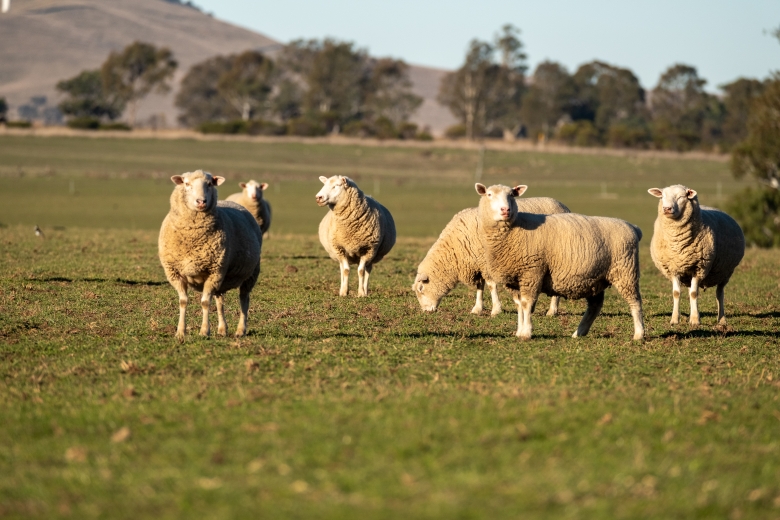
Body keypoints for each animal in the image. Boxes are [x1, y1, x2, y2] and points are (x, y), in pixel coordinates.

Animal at [159, 170, 262, 341]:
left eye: (209, 184)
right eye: (186, 184)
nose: (201, 201)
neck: (192, 236)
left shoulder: (213, 272)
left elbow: (205, 303)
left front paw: (204, 331)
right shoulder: (175, 273)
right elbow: (183, 301)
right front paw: (180, 332)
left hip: (250, 272)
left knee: (244, 300)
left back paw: (241, 330)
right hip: (222, 277)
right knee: (220, 301)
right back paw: (222, 329)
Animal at [412, 197, 571, 316]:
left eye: (421, 289)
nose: (426, 311)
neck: (456, 247)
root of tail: (564, 206)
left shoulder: (486, 261)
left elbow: (491, 285)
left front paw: (496, 310)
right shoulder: (477, 263)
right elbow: (480, 286)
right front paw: (477, 309)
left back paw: (552, 311)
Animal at [476, 183, 644, 341]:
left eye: (512, 195)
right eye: (489, 194)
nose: (505, 210)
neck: (514, 228)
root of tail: (633, 228)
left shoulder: (532, 272)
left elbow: (526, 304)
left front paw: (526, 332)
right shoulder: (514, 279)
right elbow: (519, 305)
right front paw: (519, 331)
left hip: (625, 271)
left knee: (635, 302)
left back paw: (639, 334)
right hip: (595, 278)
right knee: (595, 306)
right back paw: (579, 332)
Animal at [647, 184, 745, 326]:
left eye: (681, 196)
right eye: (662, 196)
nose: (667, 209)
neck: (677, 244)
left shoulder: (699, 267)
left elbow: (694, 294)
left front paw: (694, 320)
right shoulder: (673, 268)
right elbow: (676, 293)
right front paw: (675, 319)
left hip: (725, 272)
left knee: (719, 293)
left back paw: (721, 320)